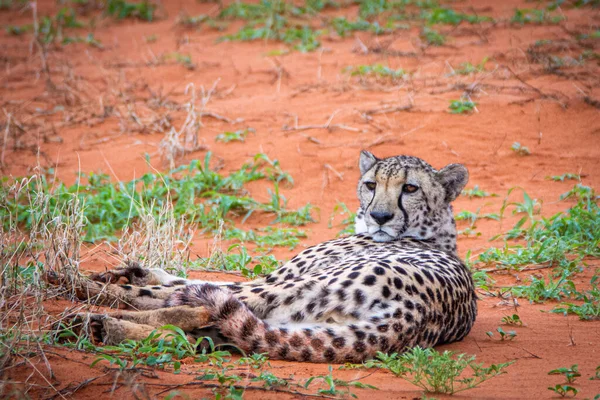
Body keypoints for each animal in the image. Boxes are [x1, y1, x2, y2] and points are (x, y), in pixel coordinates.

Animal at [64, 150, 478, 362]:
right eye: (371, 184)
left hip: (296, 289)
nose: (379, 216)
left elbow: (195, 285)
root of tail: (416, 314)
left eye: (410, 188)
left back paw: (81, 304)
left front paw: (109, 279)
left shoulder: (278, 278)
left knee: (191, 308)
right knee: (207, 334)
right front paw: (136, 269)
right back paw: (101, 326)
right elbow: (192, 279)